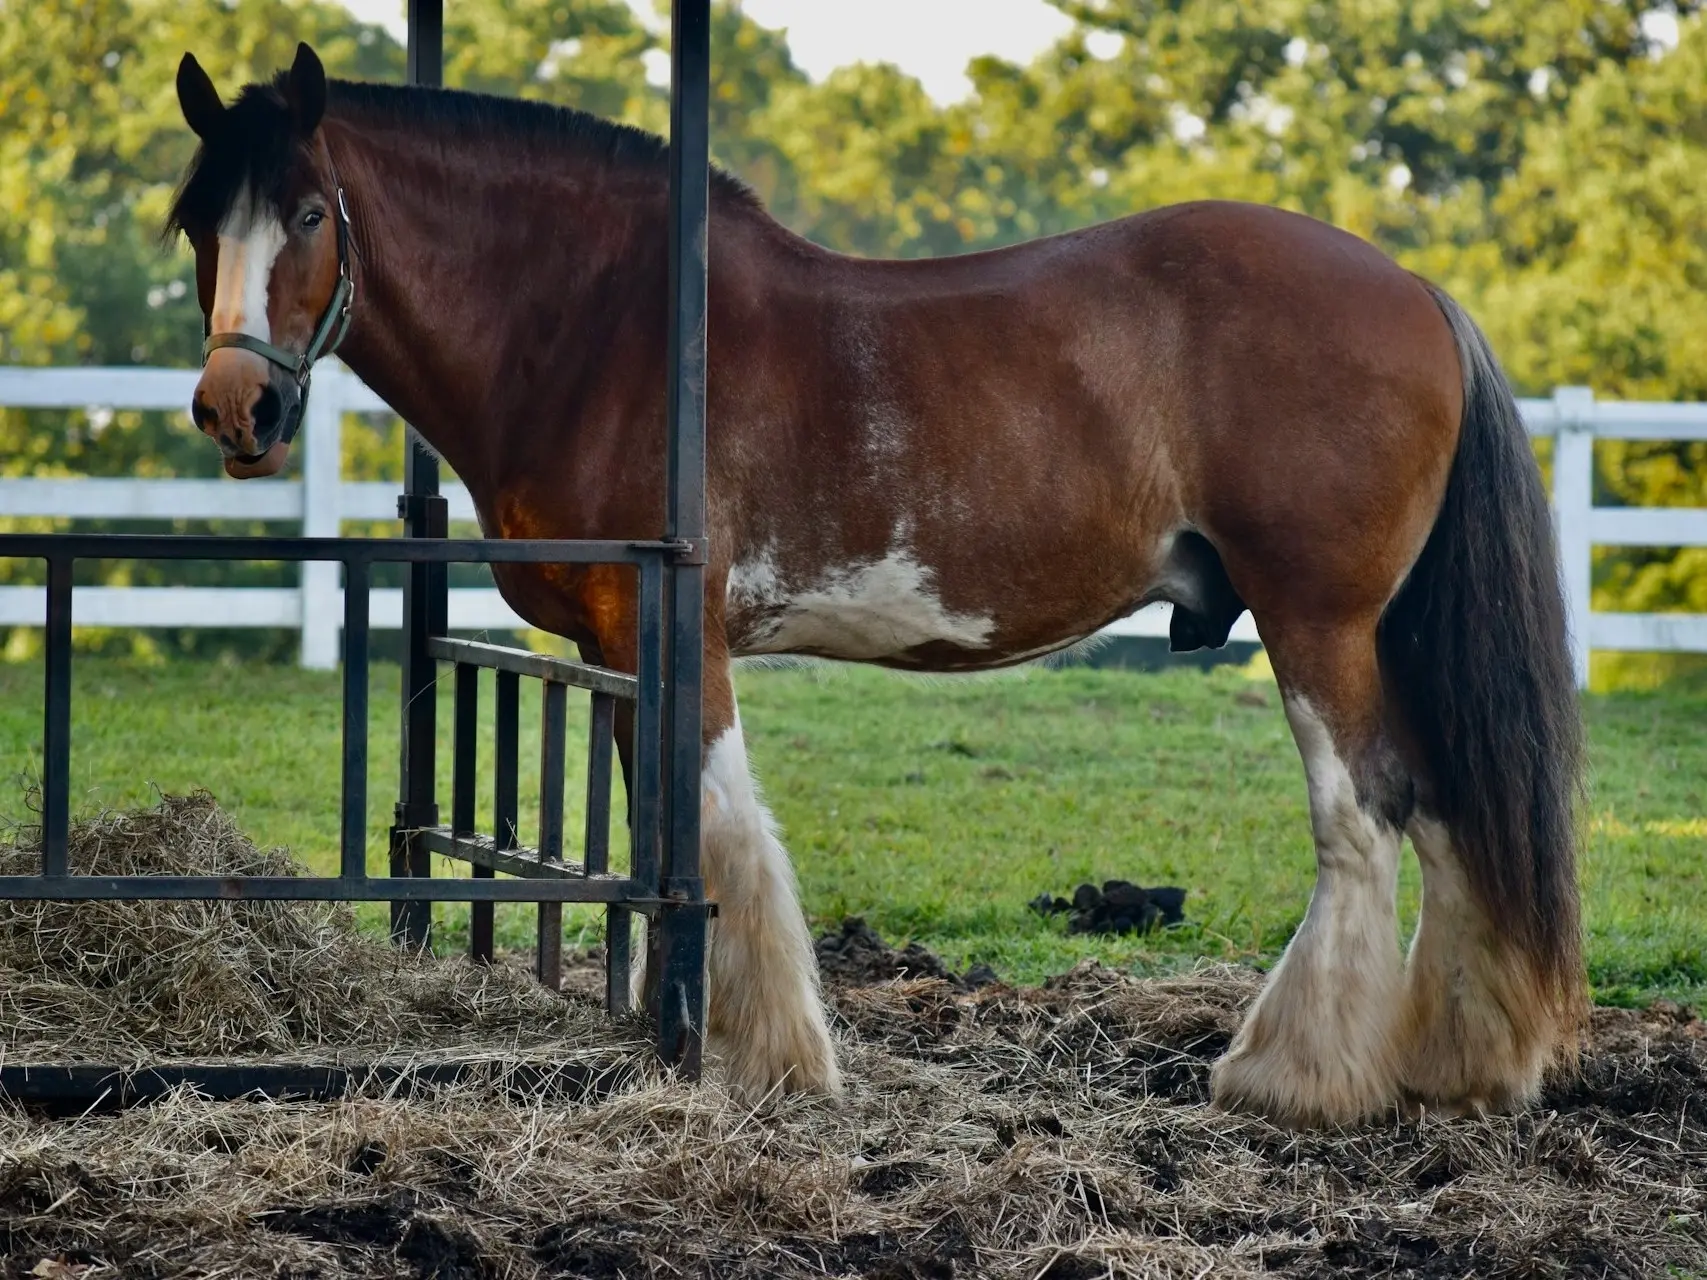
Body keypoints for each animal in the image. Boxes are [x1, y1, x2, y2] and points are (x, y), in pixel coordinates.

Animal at [166, 40, 1577, 1126]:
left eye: (307, 213)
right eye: (197, 223)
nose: (238, 409)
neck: (607, 325)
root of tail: (1415, 289)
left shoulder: (682, 626)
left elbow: (719, 828)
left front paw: (765, 1054)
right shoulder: (620, 642)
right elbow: (658, 825)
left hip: (1319, 622)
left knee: (1366, 819)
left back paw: (1296, 1075)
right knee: (1449, 811)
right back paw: (1457, 1063)